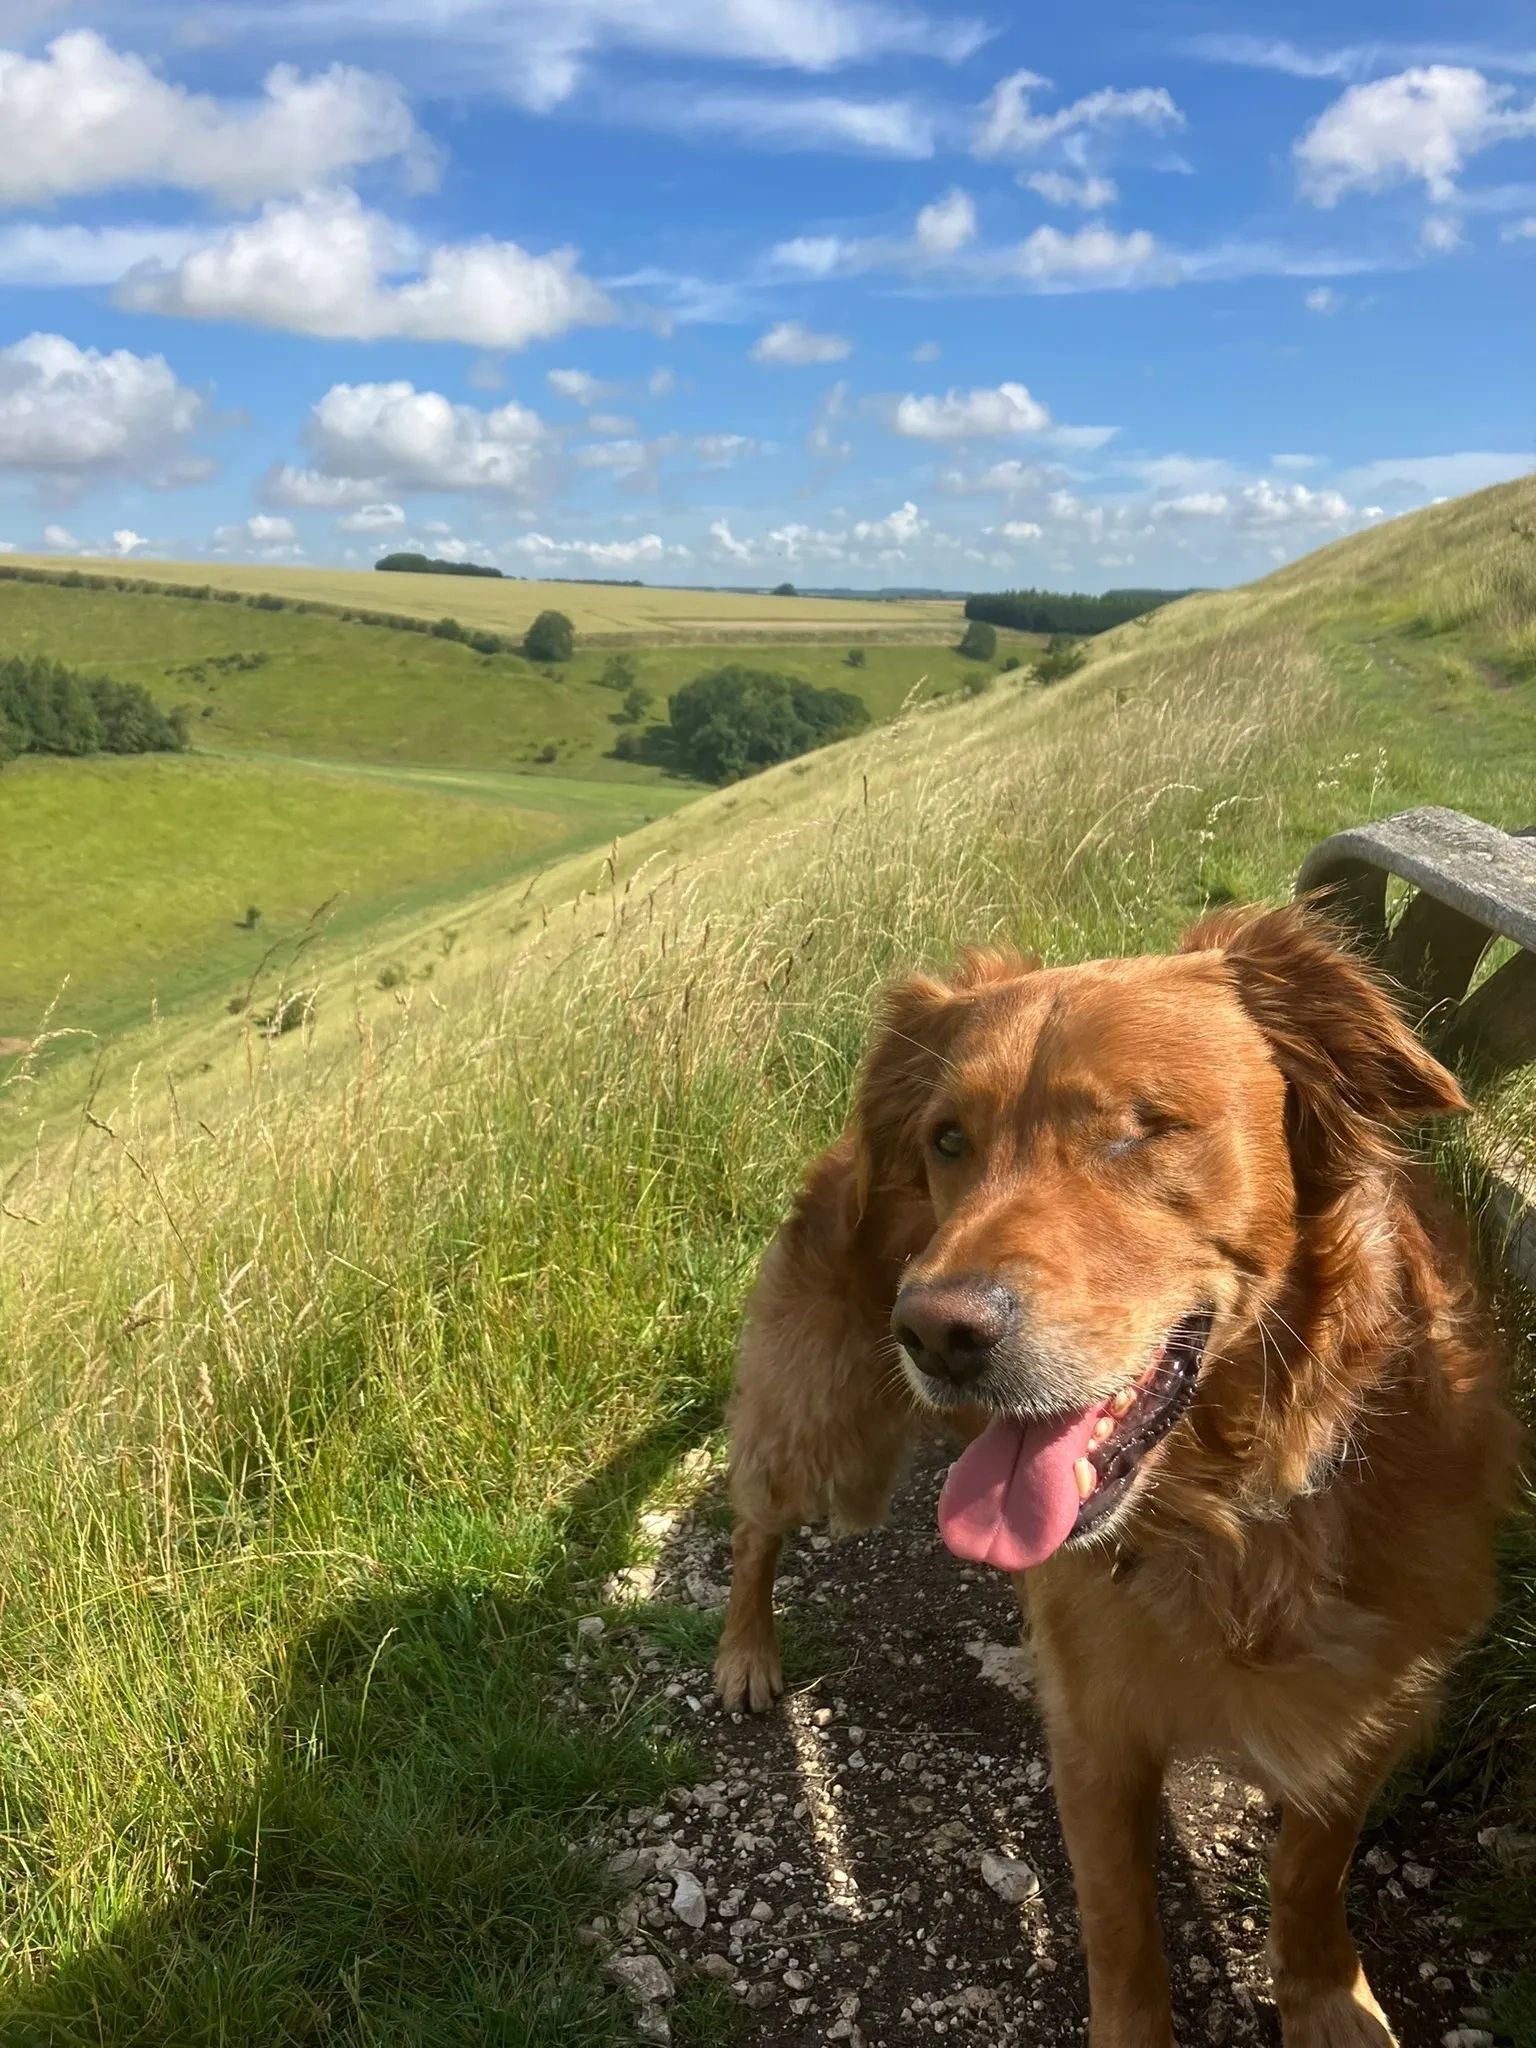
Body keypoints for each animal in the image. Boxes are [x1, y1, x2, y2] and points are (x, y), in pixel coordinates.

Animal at [720, 909, 1515, 2048]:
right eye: (949, 1140)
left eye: (1140, 1127)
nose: (933, 1330)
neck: (1231, 1511)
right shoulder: (1096, 1728)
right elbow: (1121, 1928)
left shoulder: (1368, 1701)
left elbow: (1308, 1871)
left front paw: (1328, 1999)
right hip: (822, 1422)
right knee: (754, 1526)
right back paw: (744, 1652)